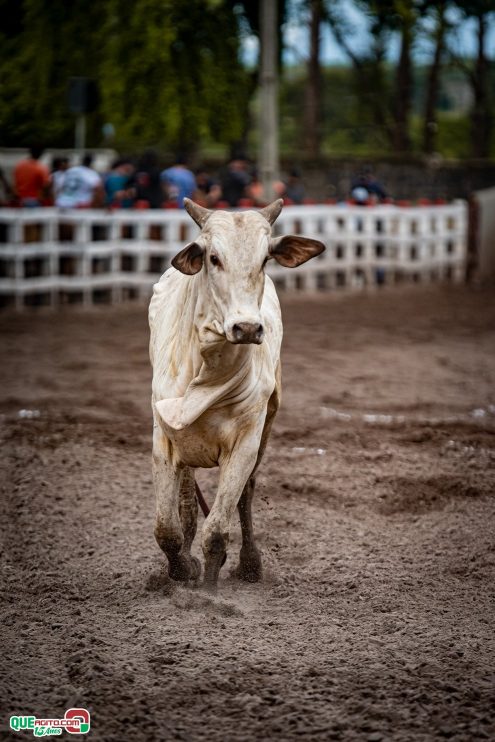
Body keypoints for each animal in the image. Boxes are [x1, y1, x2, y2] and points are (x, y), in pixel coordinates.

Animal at [148, 199, 326, 592]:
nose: (246, 328)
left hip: (267, 423)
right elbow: (166, 529)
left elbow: (217, 530)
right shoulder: (165, 437)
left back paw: (249, 563)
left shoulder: (245, 442)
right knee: (187, 501)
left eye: (264, 259)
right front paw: (182, 570)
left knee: (246, 493)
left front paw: (209, 594)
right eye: (213, 257)